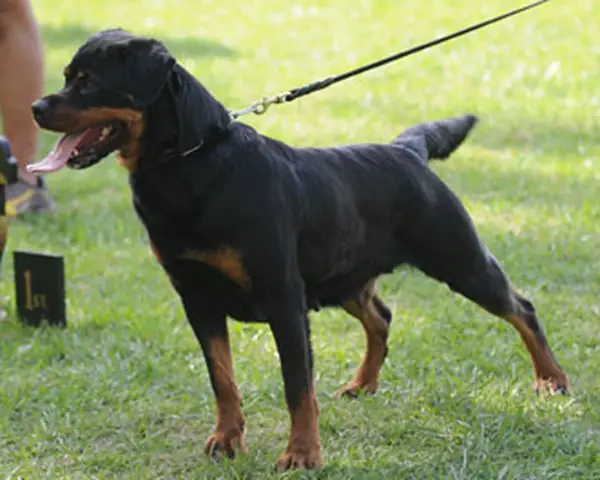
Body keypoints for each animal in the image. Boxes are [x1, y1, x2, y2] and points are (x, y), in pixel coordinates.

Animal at [30, 30, 568, 472]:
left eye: (88, 82)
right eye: (67, 78)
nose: (36, 106)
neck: (191, 163)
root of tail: (406, 150)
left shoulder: (284, 299)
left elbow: (296, 387)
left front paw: (303, 454)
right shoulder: (196, 298)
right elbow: (222, 377)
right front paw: (227, 440)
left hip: (459, 260)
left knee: (520, 307)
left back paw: (552, 380)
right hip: (343, 277)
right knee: (381, 317)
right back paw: (362, 384)